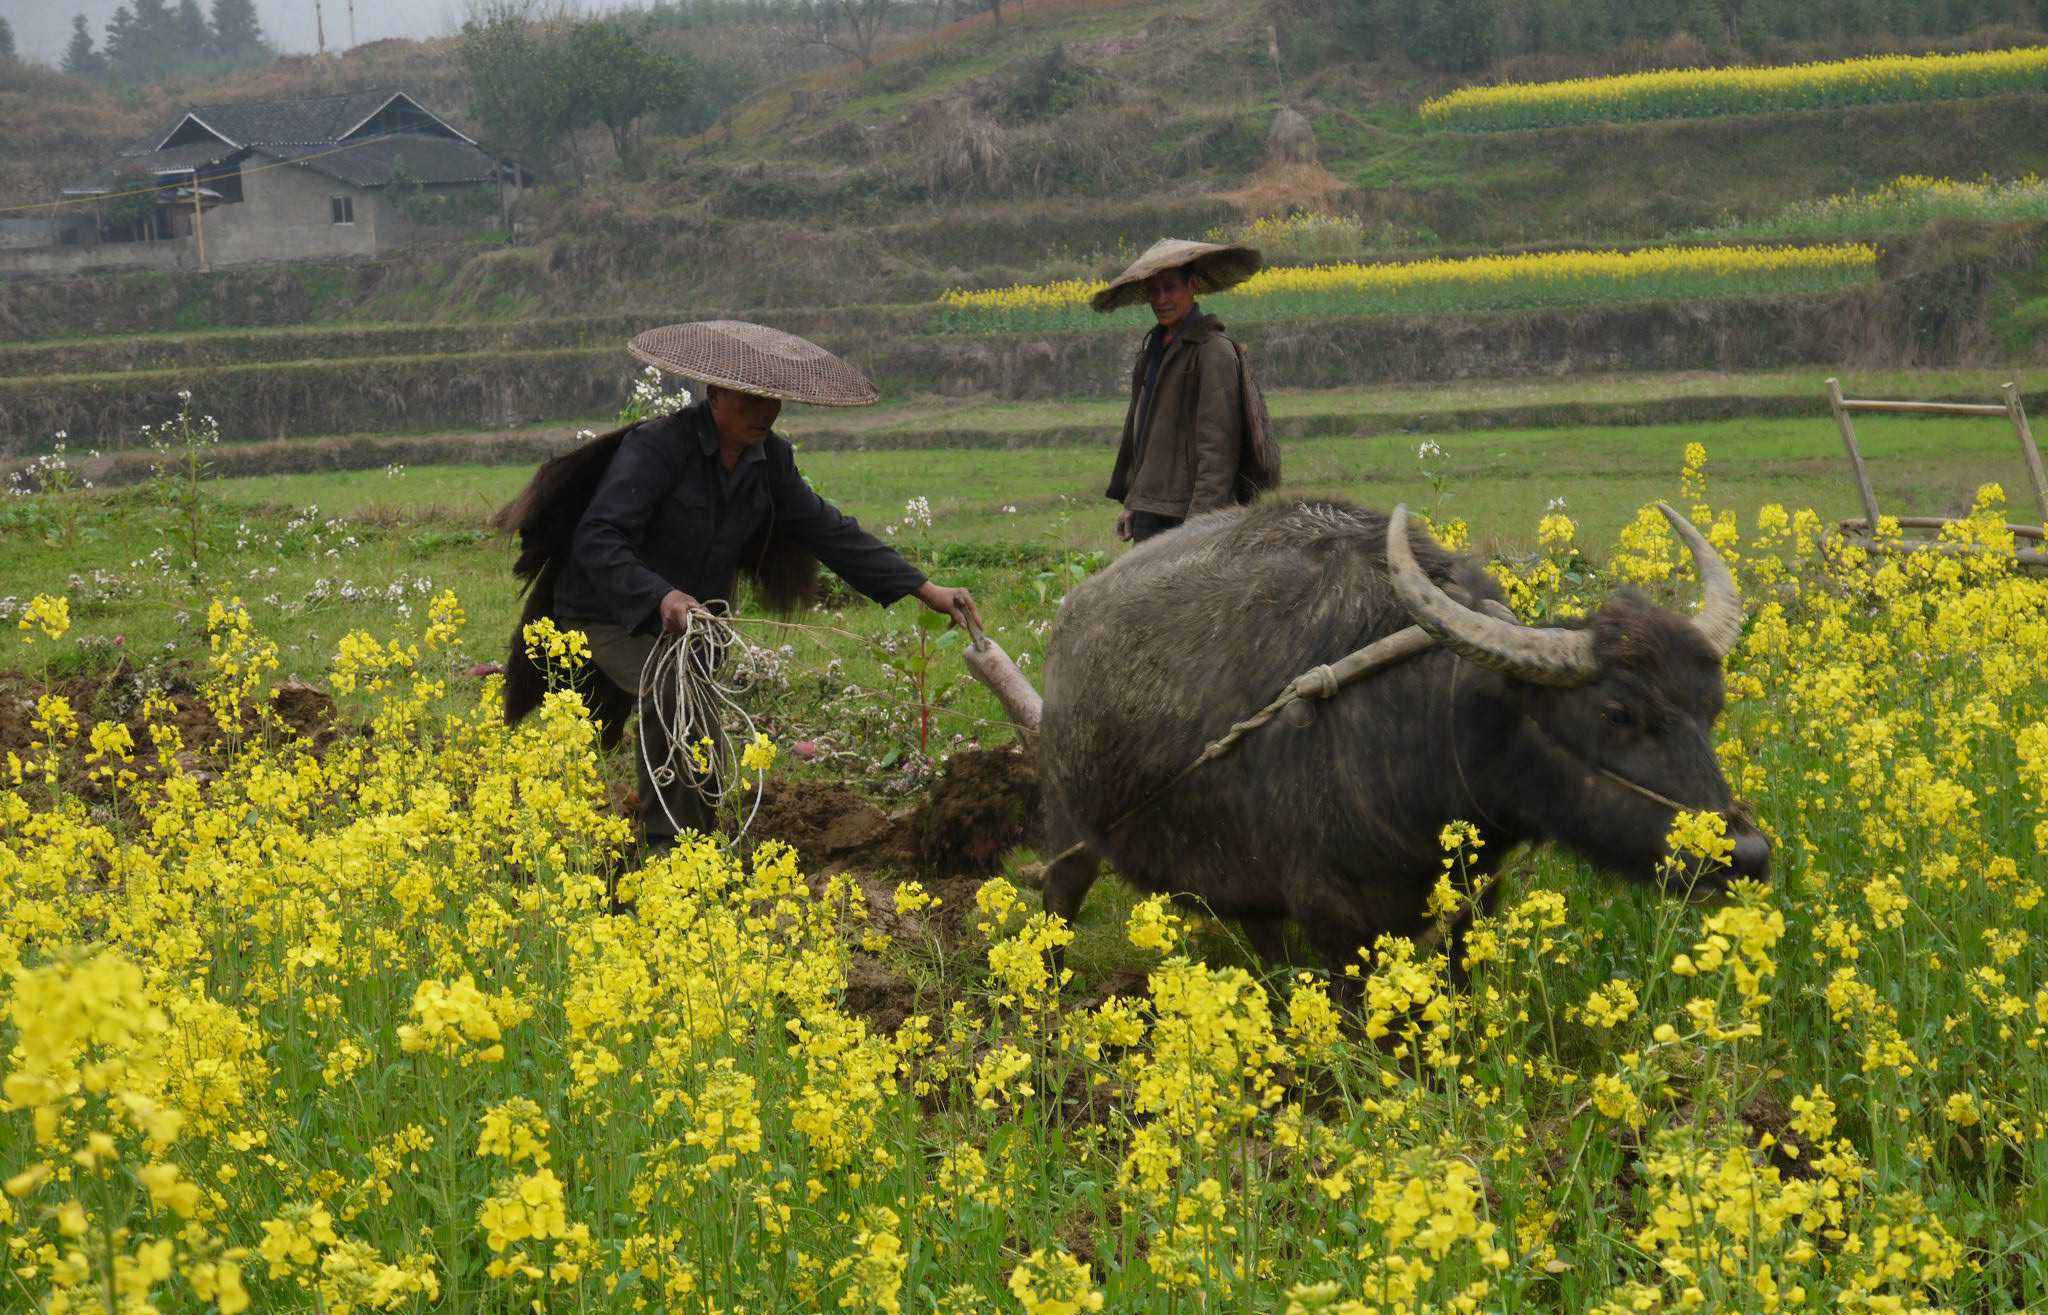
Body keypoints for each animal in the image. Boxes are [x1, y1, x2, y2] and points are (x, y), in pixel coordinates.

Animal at [1032, 495, 1769, 966]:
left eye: (1712, 708)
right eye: (1616, 714)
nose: (1747, 853)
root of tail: (1067, 622)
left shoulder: (1473, 898)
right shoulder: (1334, 916)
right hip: (1072, 829)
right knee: (1060, 897)